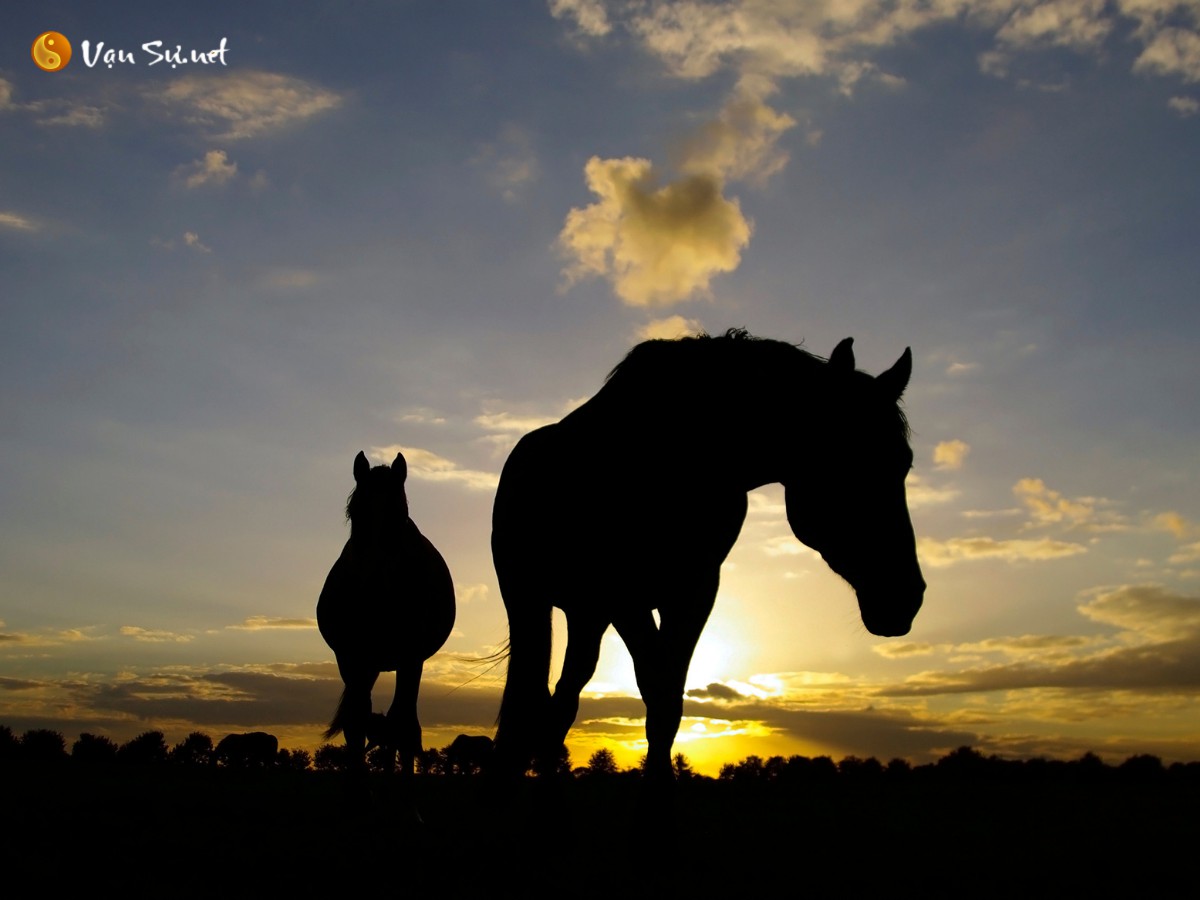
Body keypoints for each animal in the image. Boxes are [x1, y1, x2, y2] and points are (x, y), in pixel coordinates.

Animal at [316, 451, 456, 782]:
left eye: (400, 514)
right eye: (354, 512)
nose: (372, 589)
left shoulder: (411, 658)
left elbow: (402, 727)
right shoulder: (351, 658)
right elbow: (356, 725)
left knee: (402, 723)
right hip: (369, 666)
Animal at [492, 328, 921, 782]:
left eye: (905, 464)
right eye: (844, 457)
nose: (904, 599)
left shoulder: (693, 593)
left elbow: (667, 705)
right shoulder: (626, 597)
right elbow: (655, 688)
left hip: (587, 614)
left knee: (563, 698)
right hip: (530, 600)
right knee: (529, 695)